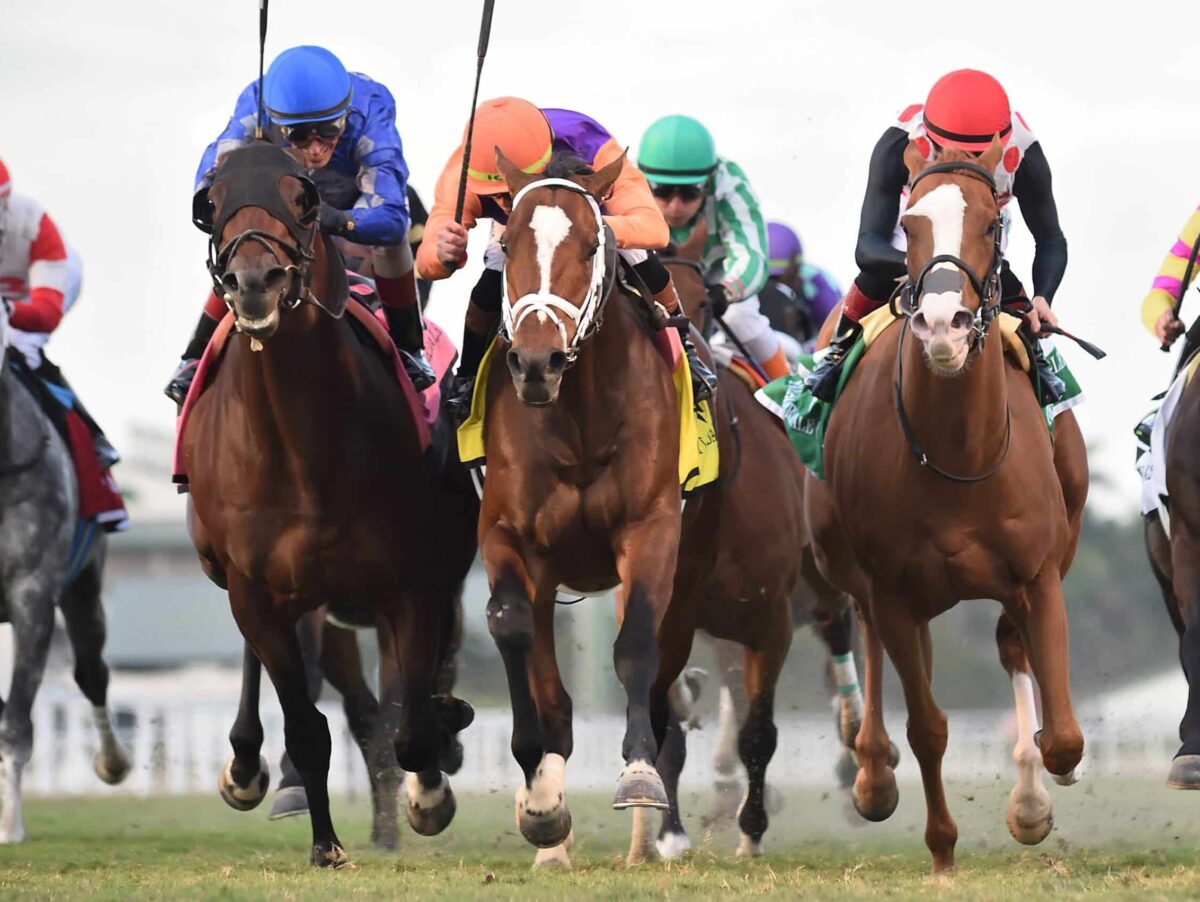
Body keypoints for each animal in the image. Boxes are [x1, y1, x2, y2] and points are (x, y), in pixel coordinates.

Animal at [182, 144, 472, 868]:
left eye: (303, 200)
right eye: (212, 201)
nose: (254, 280)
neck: (302, 450)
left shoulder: (414, 584)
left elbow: (411, 724)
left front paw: (438, 758)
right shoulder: (258, 589)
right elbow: (309, 726)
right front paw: (325, 844)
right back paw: (246, 766)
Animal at [806, 142, 1089, 873]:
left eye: (993, 223)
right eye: (909, 224)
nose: (941, 324)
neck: (958, 455)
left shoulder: (1038, 574)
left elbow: (1064, 737)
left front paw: (1036, 799)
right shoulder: (894, 590)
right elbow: (928, 727)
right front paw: (942, 850)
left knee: (1011, 647)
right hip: (849, 560)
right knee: (869, 633)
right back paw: (872, 772)